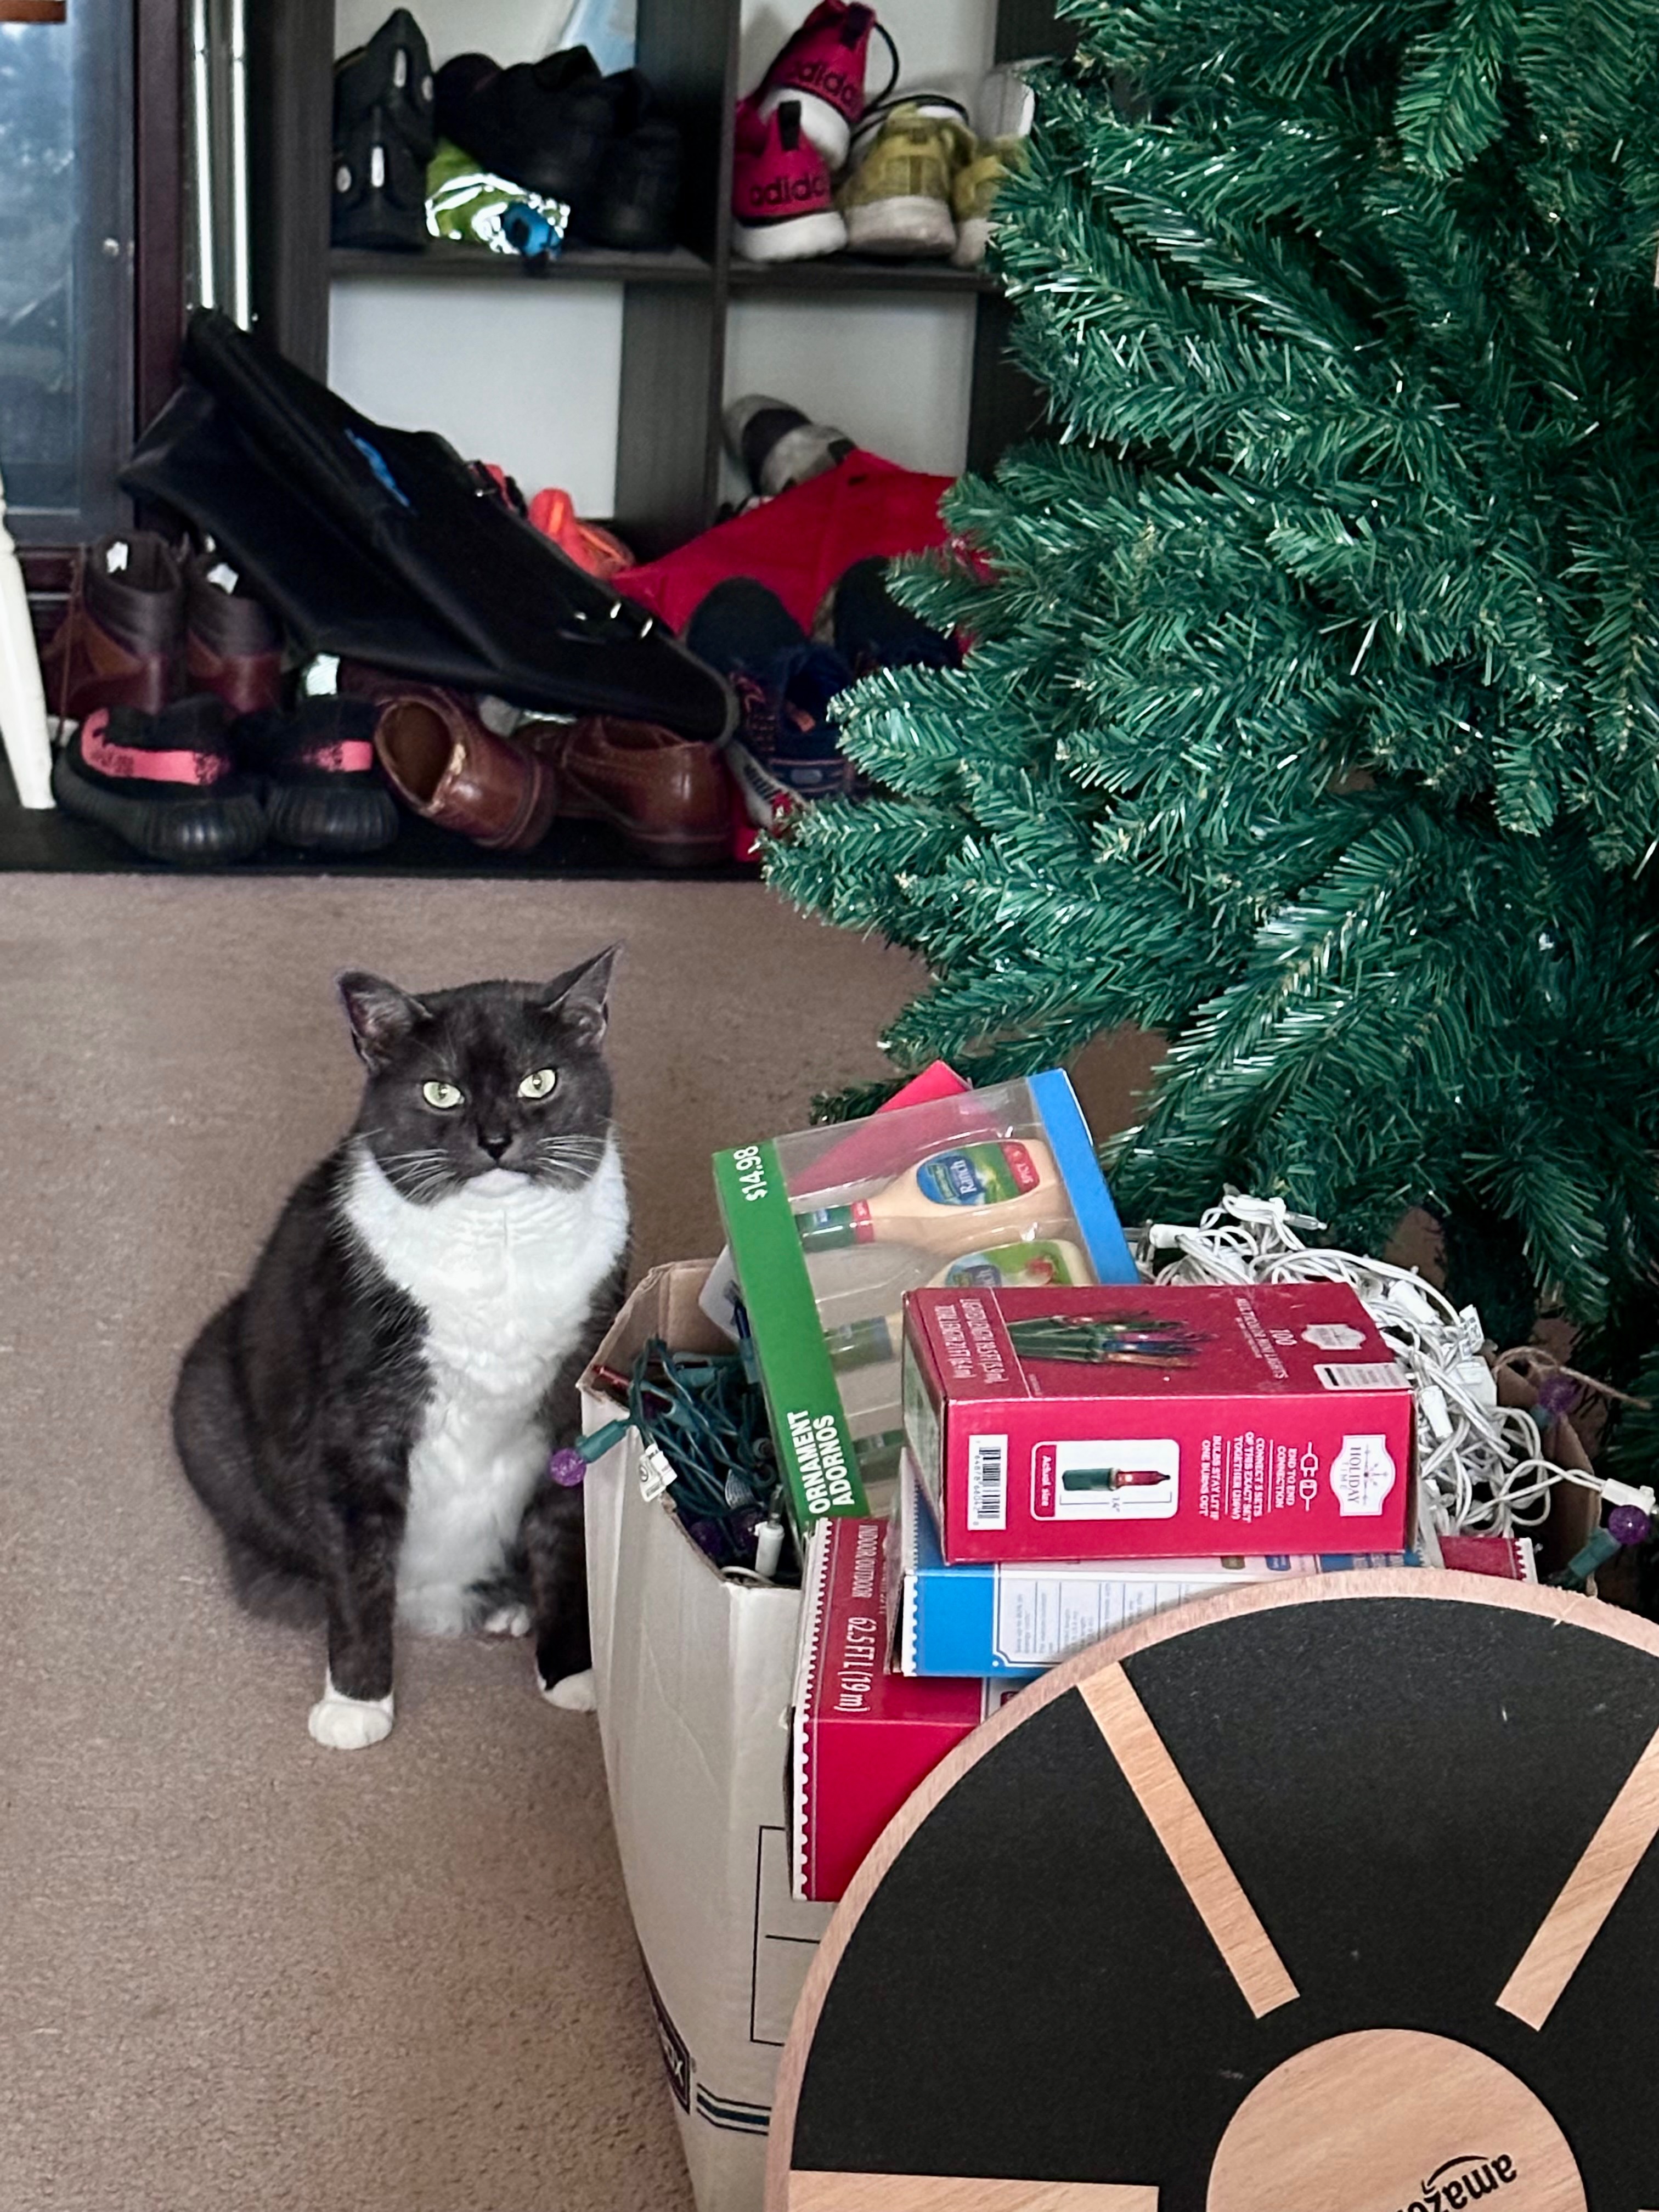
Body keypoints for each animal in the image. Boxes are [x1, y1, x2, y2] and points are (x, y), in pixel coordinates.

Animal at [173, 947, 629, 1749]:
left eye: (538, 1081)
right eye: (441, 1092)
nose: (496, 1139)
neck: (499, 1251)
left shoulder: (576, 1406)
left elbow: (565, 1542)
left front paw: (572, 1673)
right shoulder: (360, 1423)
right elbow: (358, 1567)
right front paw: (356, 1704)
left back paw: (506, 1604)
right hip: (204, 1386)